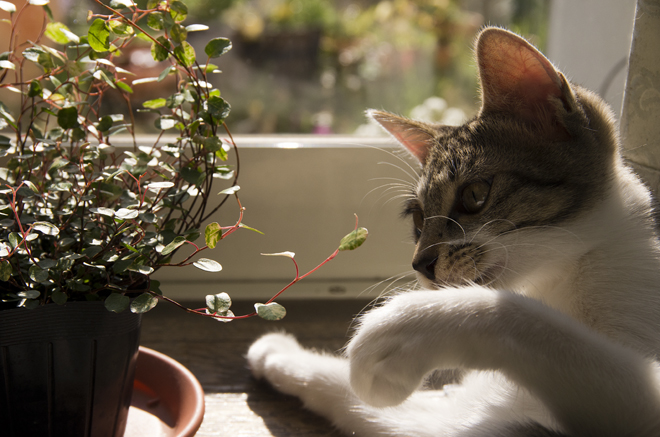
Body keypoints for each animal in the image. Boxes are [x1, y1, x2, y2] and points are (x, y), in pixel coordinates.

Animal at [245, 28, 660, 436]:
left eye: (474, 195)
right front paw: (281, 354)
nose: (420, 265)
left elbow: (524, 319)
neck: (558, 284)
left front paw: (397, 330)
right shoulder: (469, 416)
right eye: (417, 218)